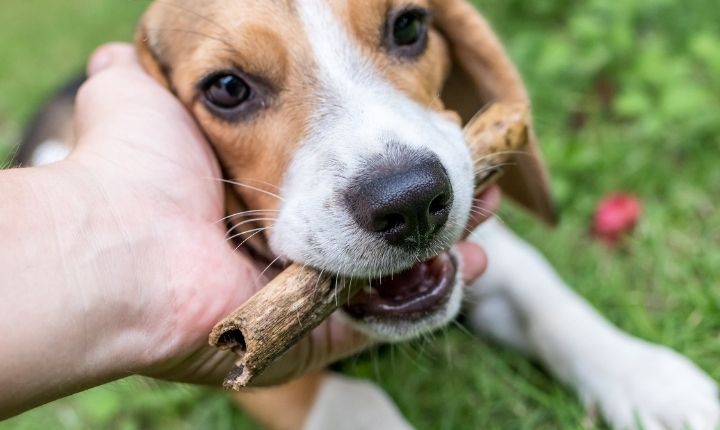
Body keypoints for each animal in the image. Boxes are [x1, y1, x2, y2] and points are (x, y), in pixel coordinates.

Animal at [19, 0, 720, 430]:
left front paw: (658, 386)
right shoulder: (237, 362)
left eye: (408, 26)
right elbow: (348, 405)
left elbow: (548, 300)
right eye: (227, 88)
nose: (410, 202)